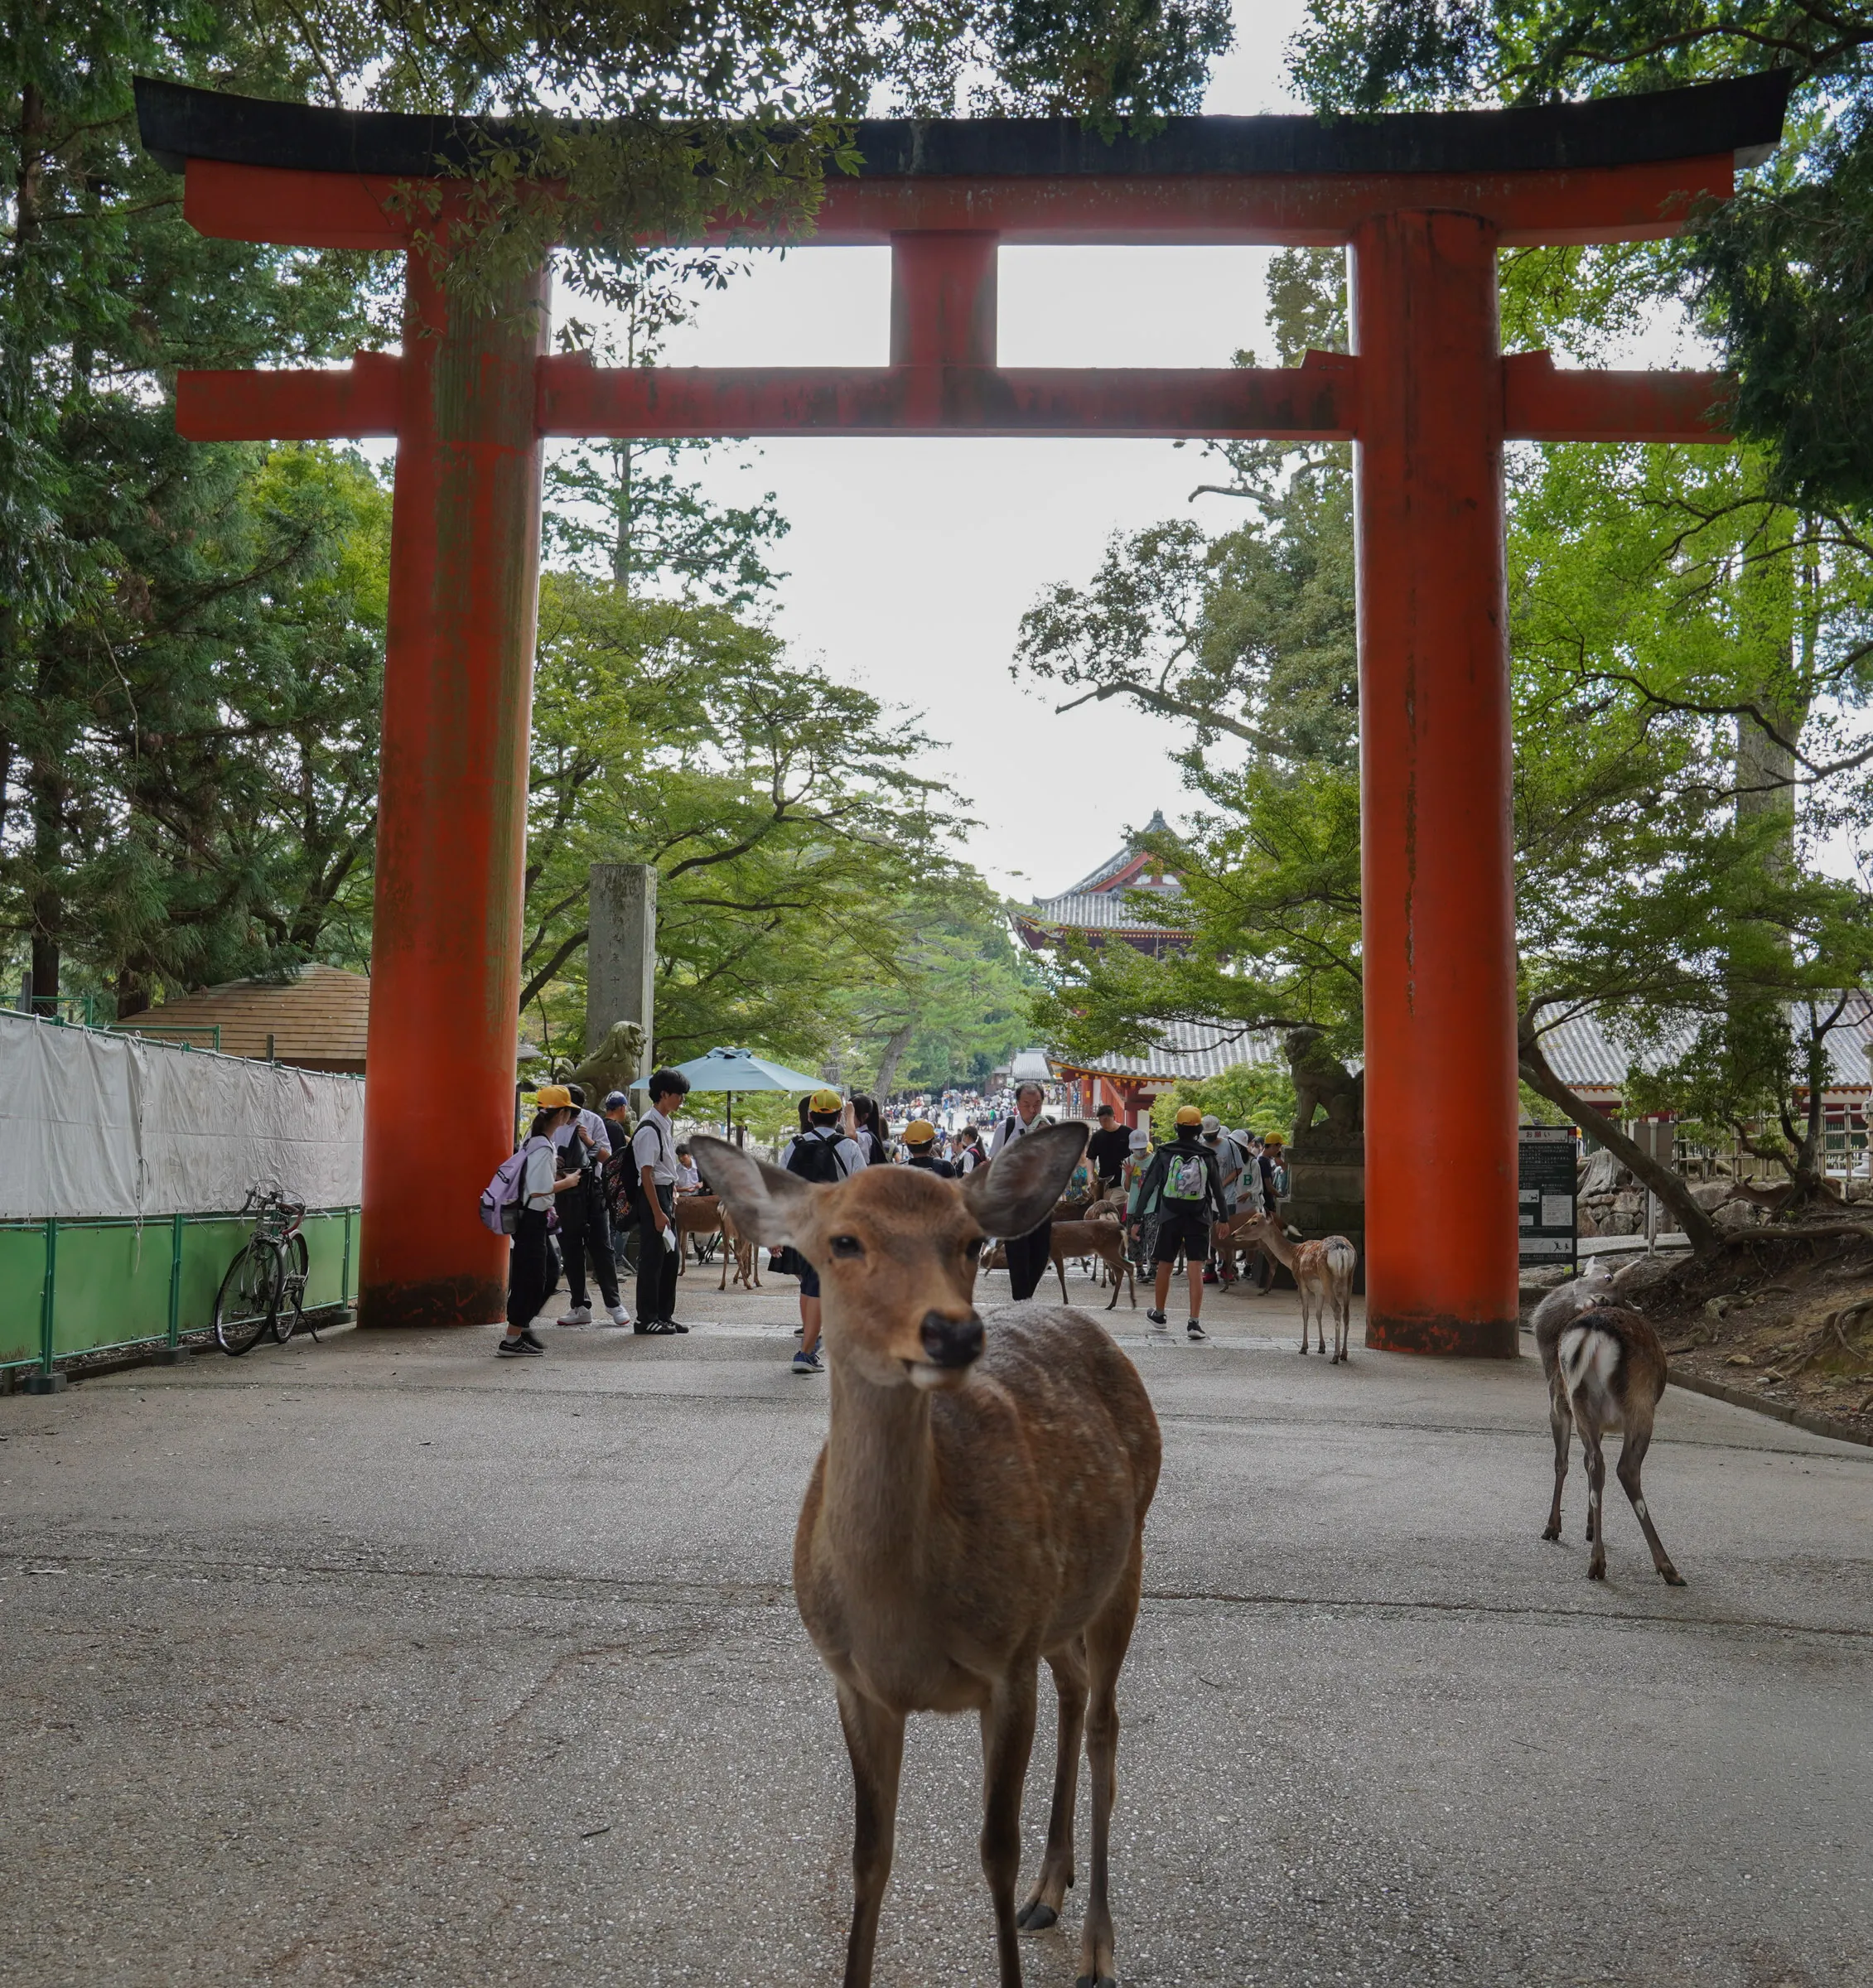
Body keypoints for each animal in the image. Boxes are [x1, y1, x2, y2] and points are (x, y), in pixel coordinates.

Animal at [692, 1123, 1160, 1988]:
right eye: (843, 1240)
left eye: (971, 1241)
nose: (954, 1331)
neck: (899, 1615)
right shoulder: (855, 1683)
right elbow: (868, 1857)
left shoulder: (1005, 1667)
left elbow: (993, 1852)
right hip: (1058, 1609)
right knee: (1076, 1687)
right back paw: (1050, 1891)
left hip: (1128, 1559)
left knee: (1105, 1723)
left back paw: (1096, 1947)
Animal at [1227, 1212, 1357, 1362]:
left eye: (1254, 1222)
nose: (1234, 1234)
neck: (1293, 1254)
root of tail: (1342, 1249)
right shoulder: (1319, 1291)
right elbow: (1318, 1314)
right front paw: (1321, 1347)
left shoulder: (1300, 1282)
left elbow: (1305, 1314)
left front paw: (1304, 1348)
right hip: (1349, 1280)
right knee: (1346, 1313)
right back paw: (1344, 1354)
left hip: (1327, 1279)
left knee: (1337, 1309)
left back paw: (1335, 1356)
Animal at [1530, 1282, 1685, 1586]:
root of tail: (1590, 1331)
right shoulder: (1557, 1408)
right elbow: (1562, 1463)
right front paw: (1554, 1527)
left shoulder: (1568, 1408)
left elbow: (1575, 1463)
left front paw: (1582, 1528)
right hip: (1639, 1404)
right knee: (1625, 1469)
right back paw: (1666, 1566)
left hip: (1582, 1405)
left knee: (1595, 1464)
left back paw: (1596, 1561)